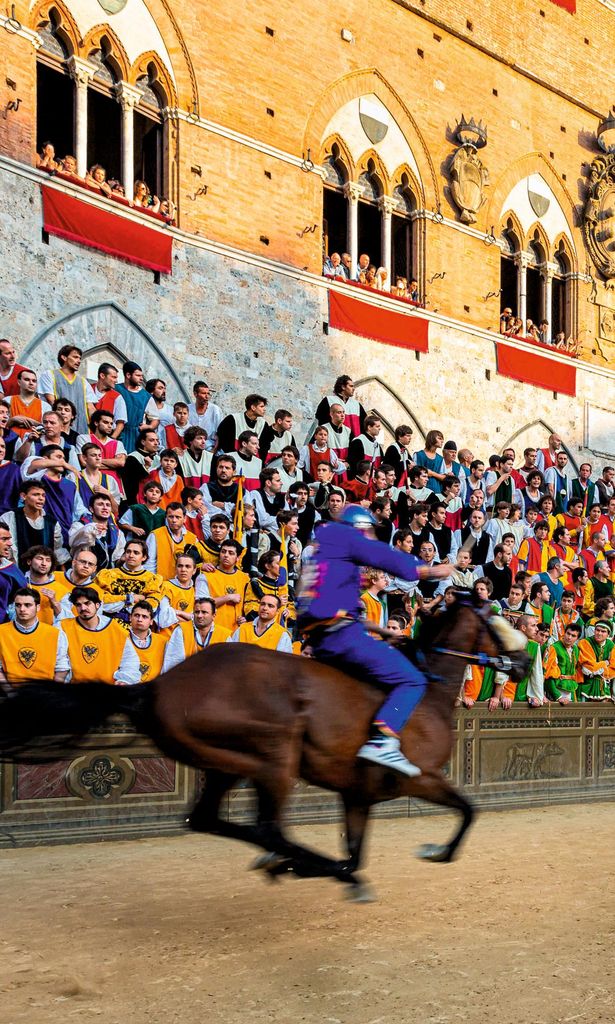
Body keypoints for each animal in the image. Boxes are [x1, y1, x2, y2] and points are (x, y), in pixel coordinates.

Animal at [1, 598, 528, 901]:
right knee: (269, 826)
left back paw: (290, 861)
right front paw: (437, 851)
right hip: (275, 752)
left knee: (209, 820)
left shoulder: (357, 795)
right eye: (503, 622)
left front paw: (330, 867)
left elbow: (356, 850)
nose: (523, 662)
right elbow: (468, 810)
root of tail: (155, 688)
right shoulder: (421, 778)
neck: (427, 691)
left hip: (225, 764)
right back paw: (295, 861)